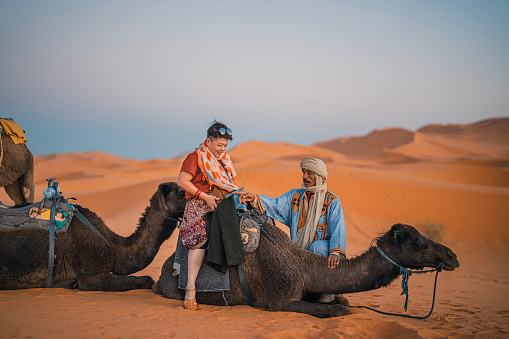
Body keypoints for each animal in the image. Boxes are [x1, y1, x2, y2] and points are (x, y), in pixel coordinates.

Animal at [153, 215, 458, 318]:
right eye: (418, 243)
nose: (452, 256)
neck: (303, 267)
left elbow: (343, 301)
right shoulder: (281, 301)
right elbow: (339, 310)